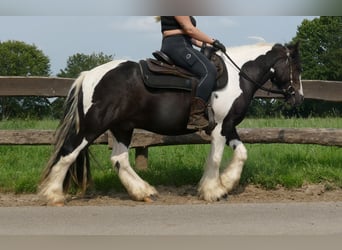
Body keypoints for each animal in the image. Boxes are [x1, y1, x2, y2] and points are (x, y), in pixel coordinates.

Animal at [38, 41, 304, 205]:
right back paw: (53, 195)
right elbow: (216, 158)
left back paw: (143, 191)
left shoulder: (228, 126)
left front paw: (227, 182)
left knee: (119, 159)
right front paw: (213, 190)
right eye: (296, 67)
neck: (238, 76)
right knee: (68, 153)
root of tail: (88, 76)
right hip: (93, 126)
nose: (299, 98)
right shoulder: (220, 127)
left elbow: (241, 153)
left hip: (122, 127)